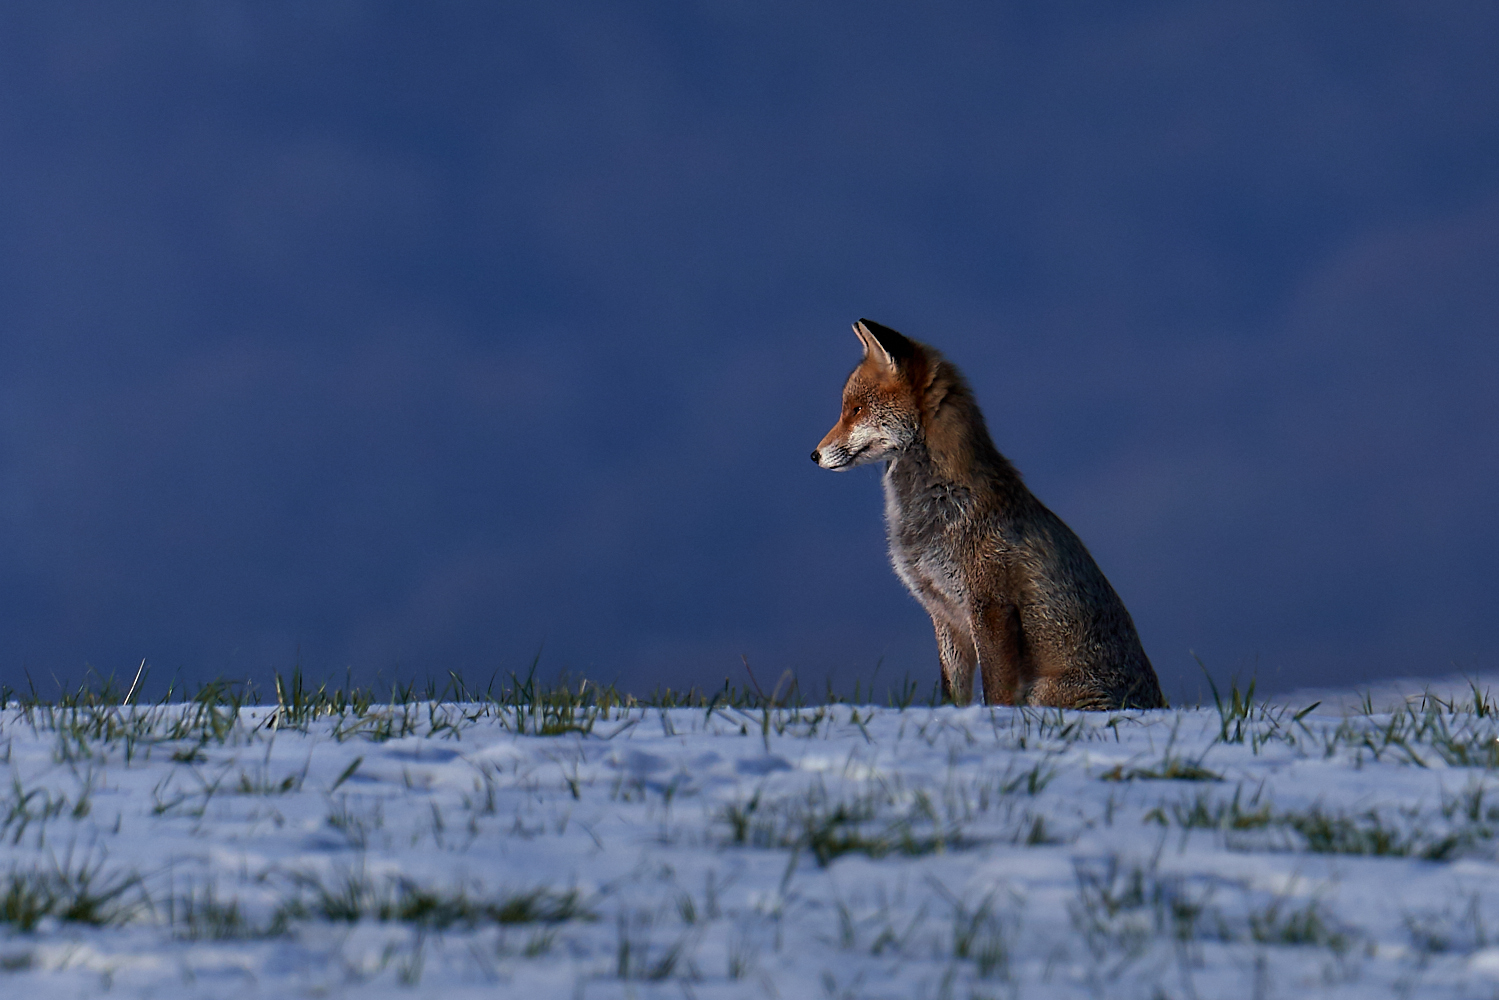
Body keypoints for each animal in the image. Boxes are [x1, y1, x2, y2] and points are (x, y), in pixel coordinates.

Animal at [815, 320, 1163, 710]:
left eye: (855, 409)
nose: (814, 455)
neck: (936, 509)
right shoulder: (945, 615)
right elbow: (953, 690)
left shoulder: (991, 605)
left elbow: (996, 690)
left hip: (1042, 694)